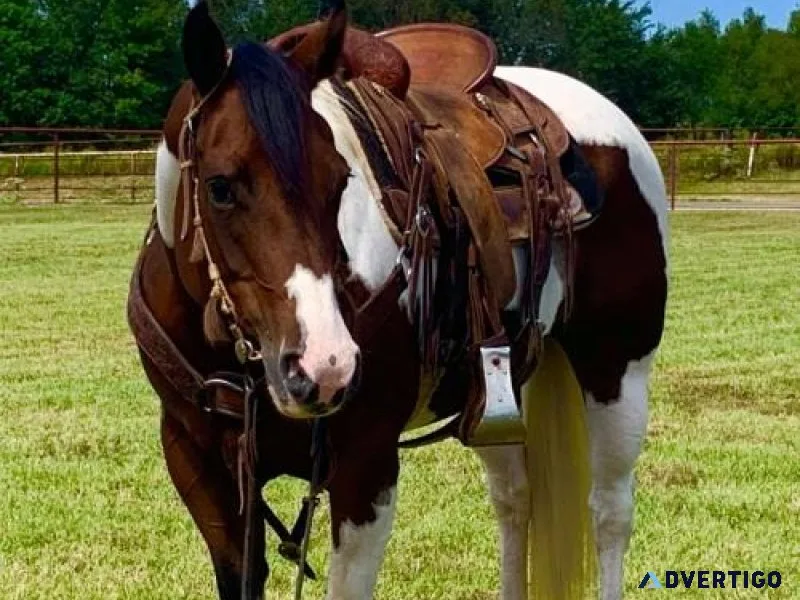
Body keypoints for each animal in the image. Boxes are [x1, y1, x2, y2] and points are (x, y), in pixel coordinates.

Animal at [127, 2, 668, 599]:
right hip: (501, 387)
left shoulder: (367, 465)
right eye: (220, 187)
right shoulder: (197, 465)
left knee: (609, 512)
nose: (325, 366)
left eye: (340, 180)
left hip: (617, 369)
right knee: (515, 501)